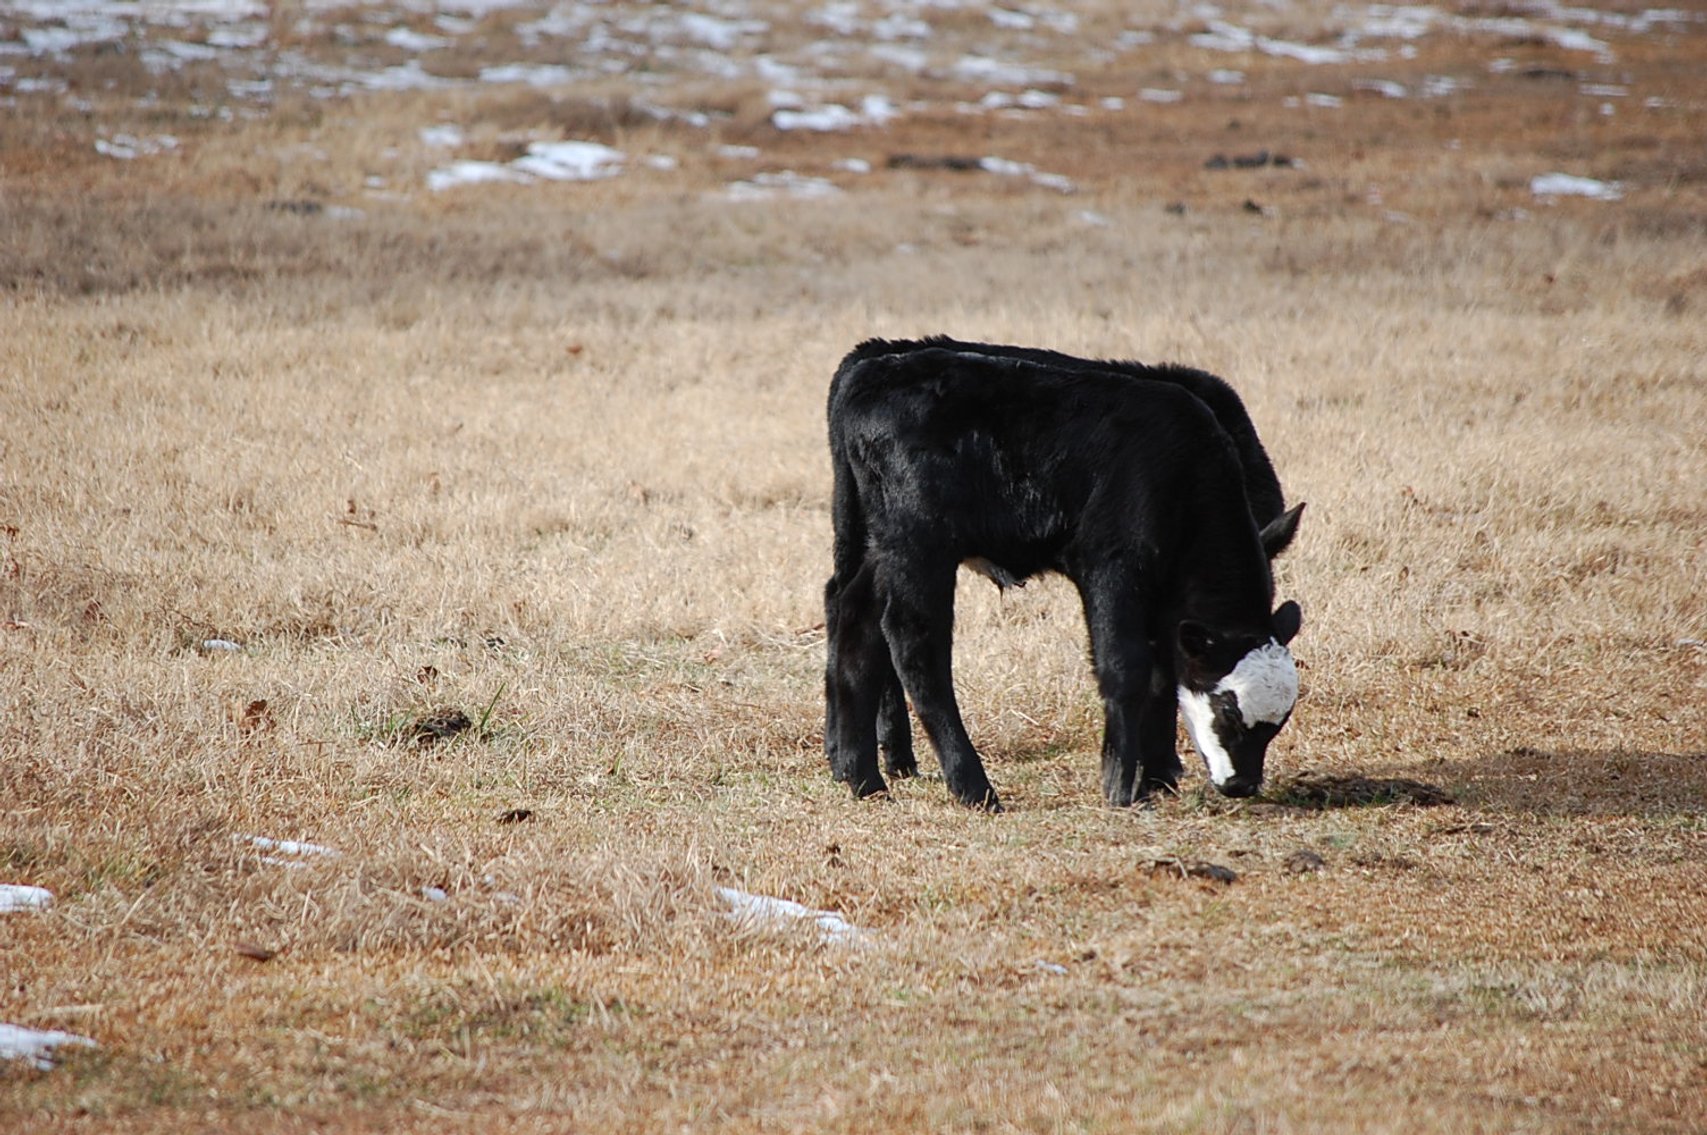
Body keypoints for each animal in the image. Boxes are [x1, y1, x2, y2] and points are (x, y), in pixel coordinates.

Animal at [823, 337, 1304, 811]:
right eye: (1229, 710)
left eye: (1279, 722)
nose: (1242, 784)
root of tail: (872, 368)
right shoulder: (1112, 567)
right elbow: (1127, 666)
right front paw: (1122, 783)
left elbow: (1162, 672)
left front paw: (1154, 775)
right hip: (921, 546)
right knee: (914, 643)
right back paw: (970, 785)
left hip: (879, 546)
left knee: (855, 621)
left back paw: (863, 776)